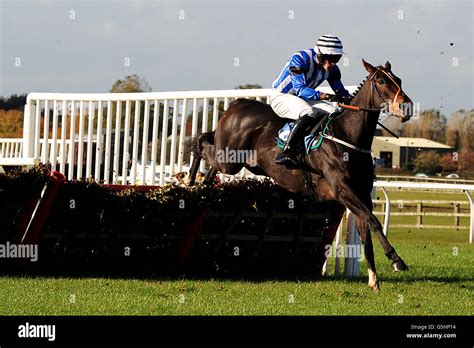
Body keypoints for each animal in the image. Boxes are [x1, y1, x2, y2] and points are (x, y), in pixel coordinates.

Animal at [187, 59, 412, 290]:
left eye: (399, 79)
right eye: (382, 81)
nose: (406, 107)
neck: (348, 136)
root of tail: (235, 106)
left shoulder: (361, 194)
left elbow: (365, 230)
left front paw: (374, 279)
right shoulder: (343, 190)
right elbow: (373, 221)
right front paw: (396, 260)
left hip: (229, 159)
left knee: (208, 154)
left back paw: (203, 185)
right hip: (229, 160)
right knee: (201, 144)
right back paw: (190, 179)